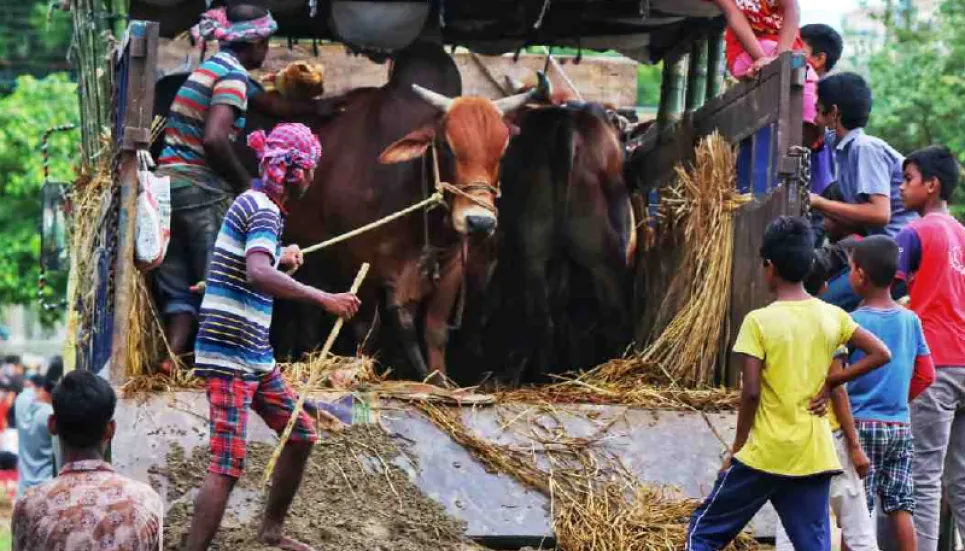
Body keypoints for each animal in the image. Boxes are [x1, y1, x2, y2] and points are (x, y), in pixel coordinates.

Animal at [268, 43, 540, 382]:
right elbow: (367, 328)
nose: (479, 221)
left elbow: (434, 331)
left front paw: (438, 380)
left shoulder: (450, 268)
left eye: (501, 153)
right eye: (446, 146)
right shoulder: (362, 265)